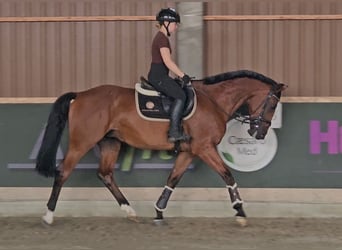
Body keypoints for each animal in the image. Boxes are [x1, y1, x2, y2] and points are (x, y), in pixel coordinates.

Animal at [35, 69, 286, 227]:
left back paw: (130, 211)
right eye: (273, 104)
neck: (213, 100)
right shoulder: (205, 148)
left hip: (110, 142)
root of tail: (80, 95)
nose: (259, 134)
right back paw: (48, 215)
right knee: (63, 172)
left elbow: (172, 179)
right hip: (82, 142)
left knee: (105, 174)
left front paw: (158, 212)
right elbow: (227, 175)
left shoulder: (188, 152)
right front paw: (240, 211)